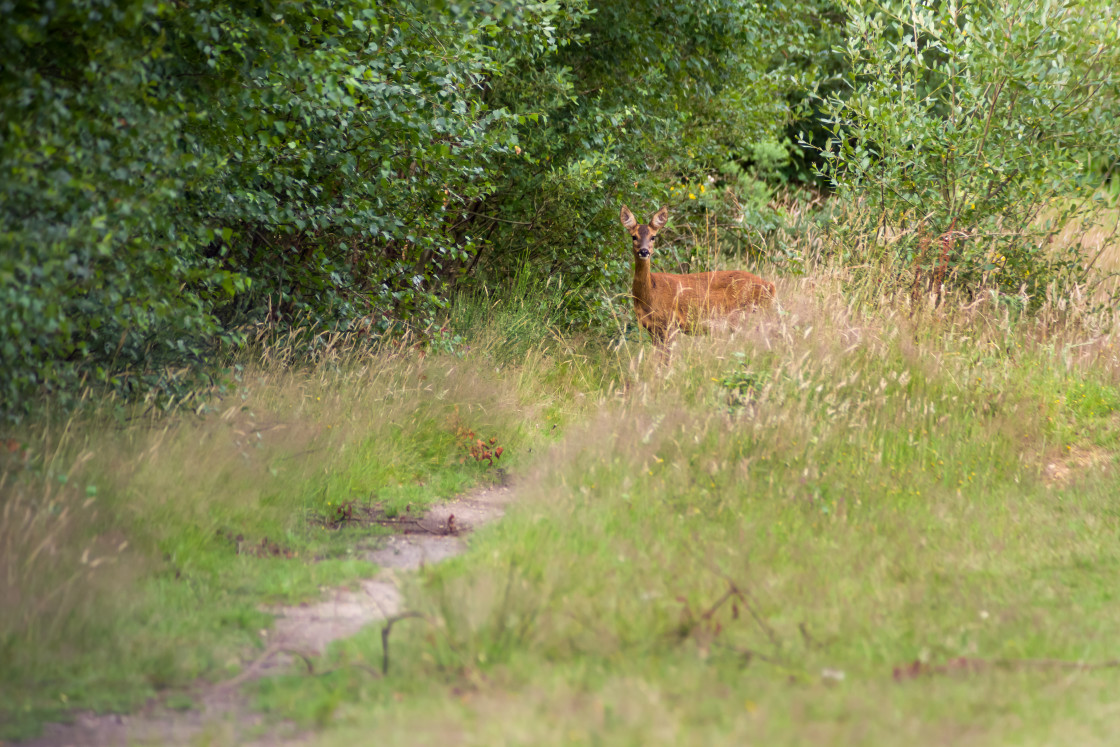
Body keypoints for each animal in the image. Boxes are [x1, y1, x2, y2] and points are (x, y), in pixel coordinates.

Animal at [618, 204, 775, 344]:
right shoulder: (652, 328)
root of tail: (770, 286)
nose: (644, 251)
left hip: (747, 316)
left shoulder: (670, 323)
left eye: (653, 237)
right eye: (634, 237)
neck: (651, 292)